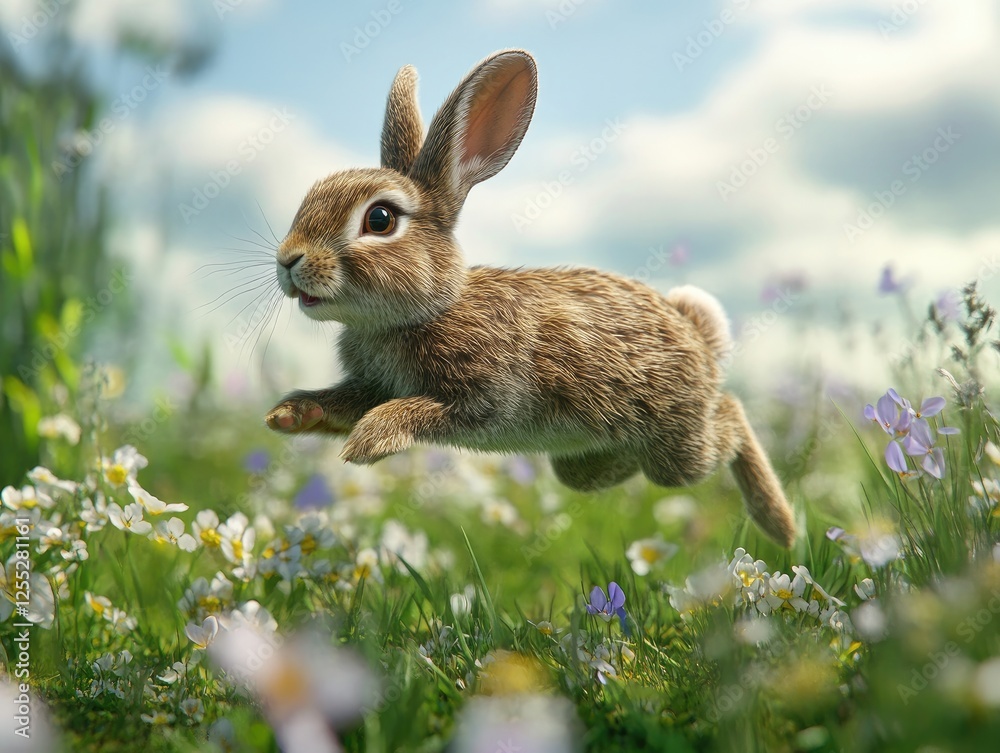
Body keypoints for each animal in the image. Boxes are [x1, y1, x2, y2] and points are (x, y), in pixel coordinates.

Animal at [264, 50, 796, 547]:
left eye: (379, 220)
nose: (288, 260)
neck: (428, 308)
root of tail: (700, 337)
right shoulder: (373, 385)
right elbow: (346, 402)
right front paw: (289, 415)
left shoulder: (485, 395)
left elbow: (426, 411)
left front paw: (369, 441)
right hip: (596, 457)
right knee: (591, 472)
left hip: (679, 443)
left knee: (729, 419)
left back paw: (782, 525)